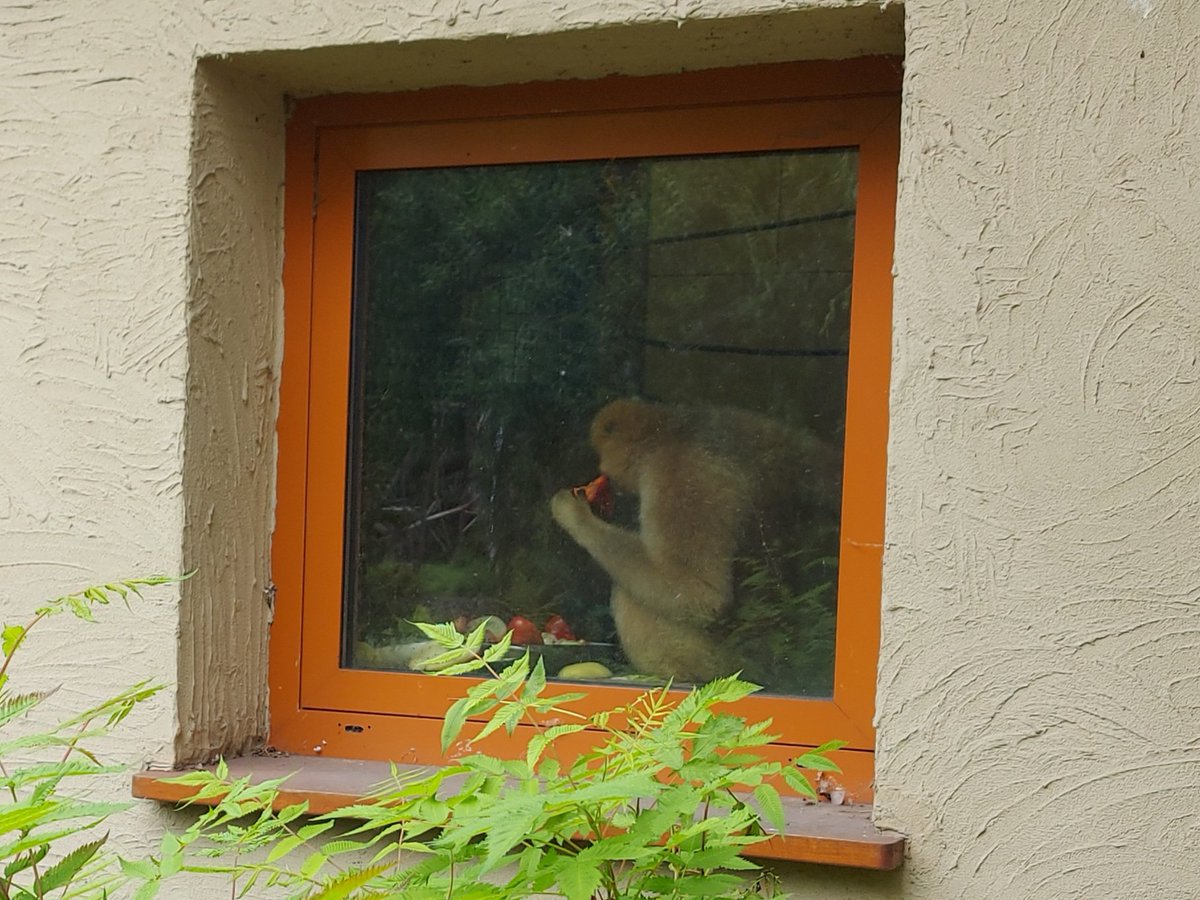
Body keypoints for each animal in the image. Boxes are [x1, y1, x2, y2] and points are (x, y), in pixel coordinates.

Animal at [550, 397, 839, 683]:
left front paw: (576, 516)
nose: (603, 475)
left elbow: (698, 592)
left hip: (720, 663)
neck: (674, 434)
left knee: (631, 595)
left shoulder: (677, 471)